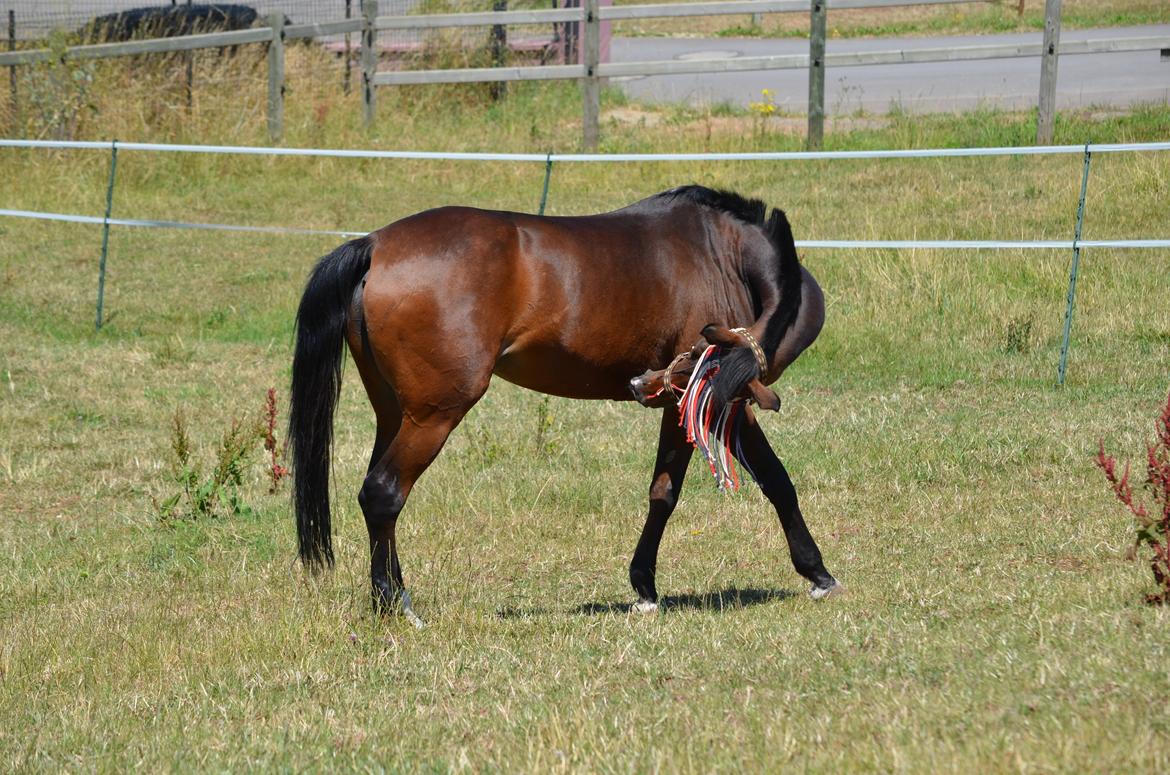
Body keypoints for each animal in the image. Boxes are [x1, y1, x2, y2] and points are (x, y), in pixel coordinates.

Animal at [292, 183, 842, 627]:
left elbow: (662, 492)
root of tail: (375, 245)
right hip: (432, 416)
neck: (721, 252)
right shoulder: (722, 399)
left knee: (377, 498)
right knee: (384, 493)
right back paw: (397, 606)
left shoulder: (682, 404)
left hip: (394, 414)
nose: (640, 384)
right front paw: (817, 571)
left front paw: (644, 586)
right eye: (692, 355)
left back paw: (388, 597)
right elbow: (777, 481)